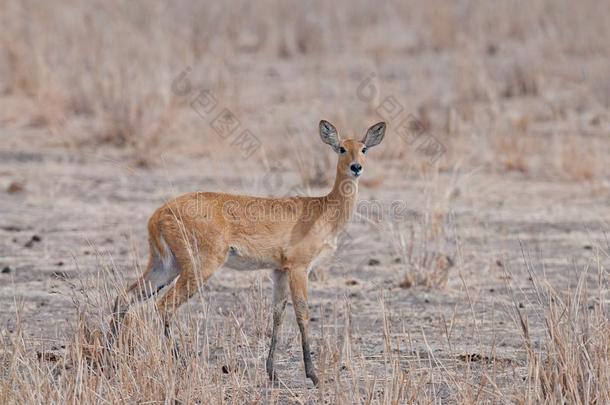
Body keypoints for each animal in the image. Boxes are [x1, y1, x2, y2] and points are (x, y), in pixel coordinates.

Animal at [109, 118, 384, 384]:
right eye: (341, 148)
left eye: (363, 148)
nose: (356, 167)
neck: (322, 209)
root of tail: (159, 214)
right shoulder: (299, 268)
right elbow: (303, 314)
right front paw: (314, 375)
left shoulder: (279, 270)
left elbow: (277, 314)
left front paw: (272, 373)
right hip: (199, 267)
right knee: (164, 305)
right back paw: (181, 365)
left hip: (165, 266)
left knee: (125, 297)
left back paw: (110, 361)